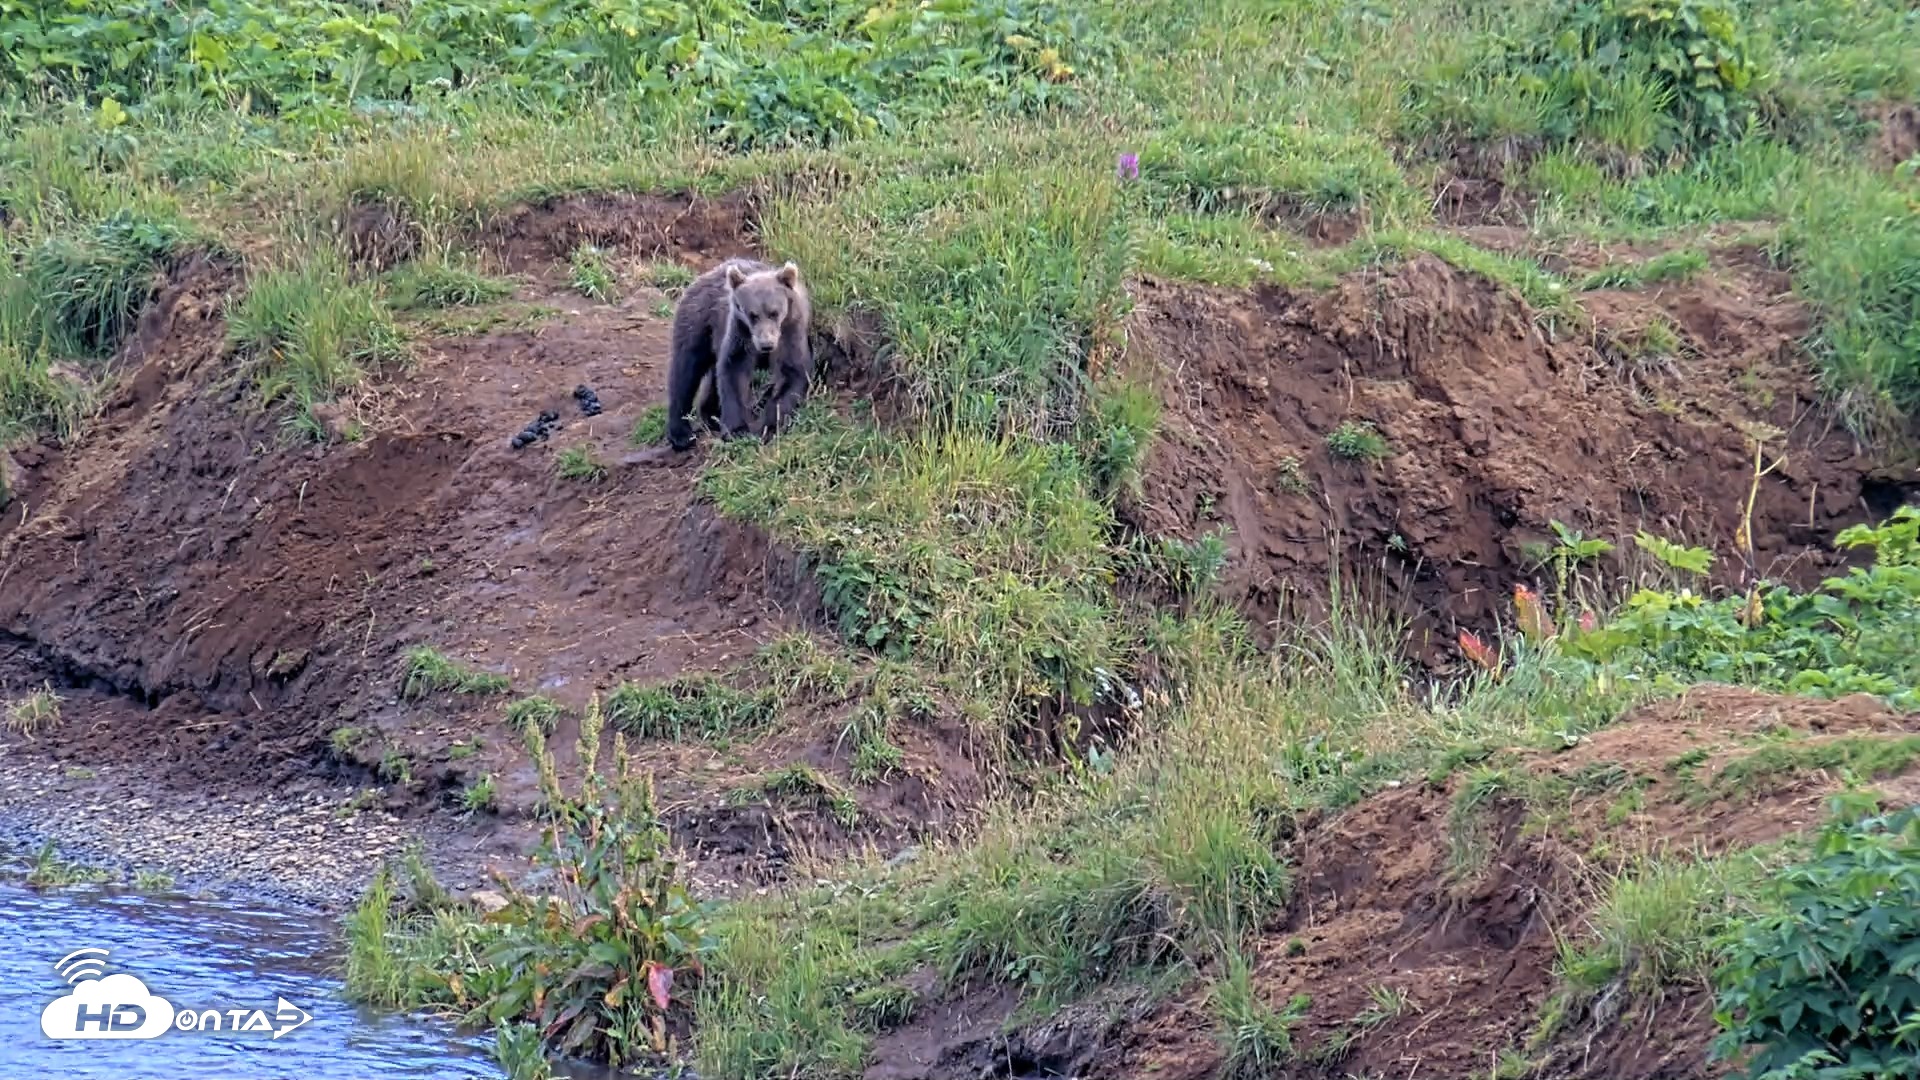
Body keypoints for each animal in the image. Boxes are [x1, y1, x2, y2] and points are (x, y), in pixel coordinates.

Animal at [664, 257, 813, 452]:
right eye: (752, 314)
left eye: (774, 312)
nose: (766, 344)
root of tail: (707, 274)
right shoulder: (739, 332)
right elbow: (733, 370)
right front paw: (737, 430)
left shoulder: (791, 331)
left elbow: (793, 374)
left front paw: (769, 426)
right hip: (699, 321)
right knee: (685, 370)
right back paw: (681, 433)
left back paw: (711, 415)